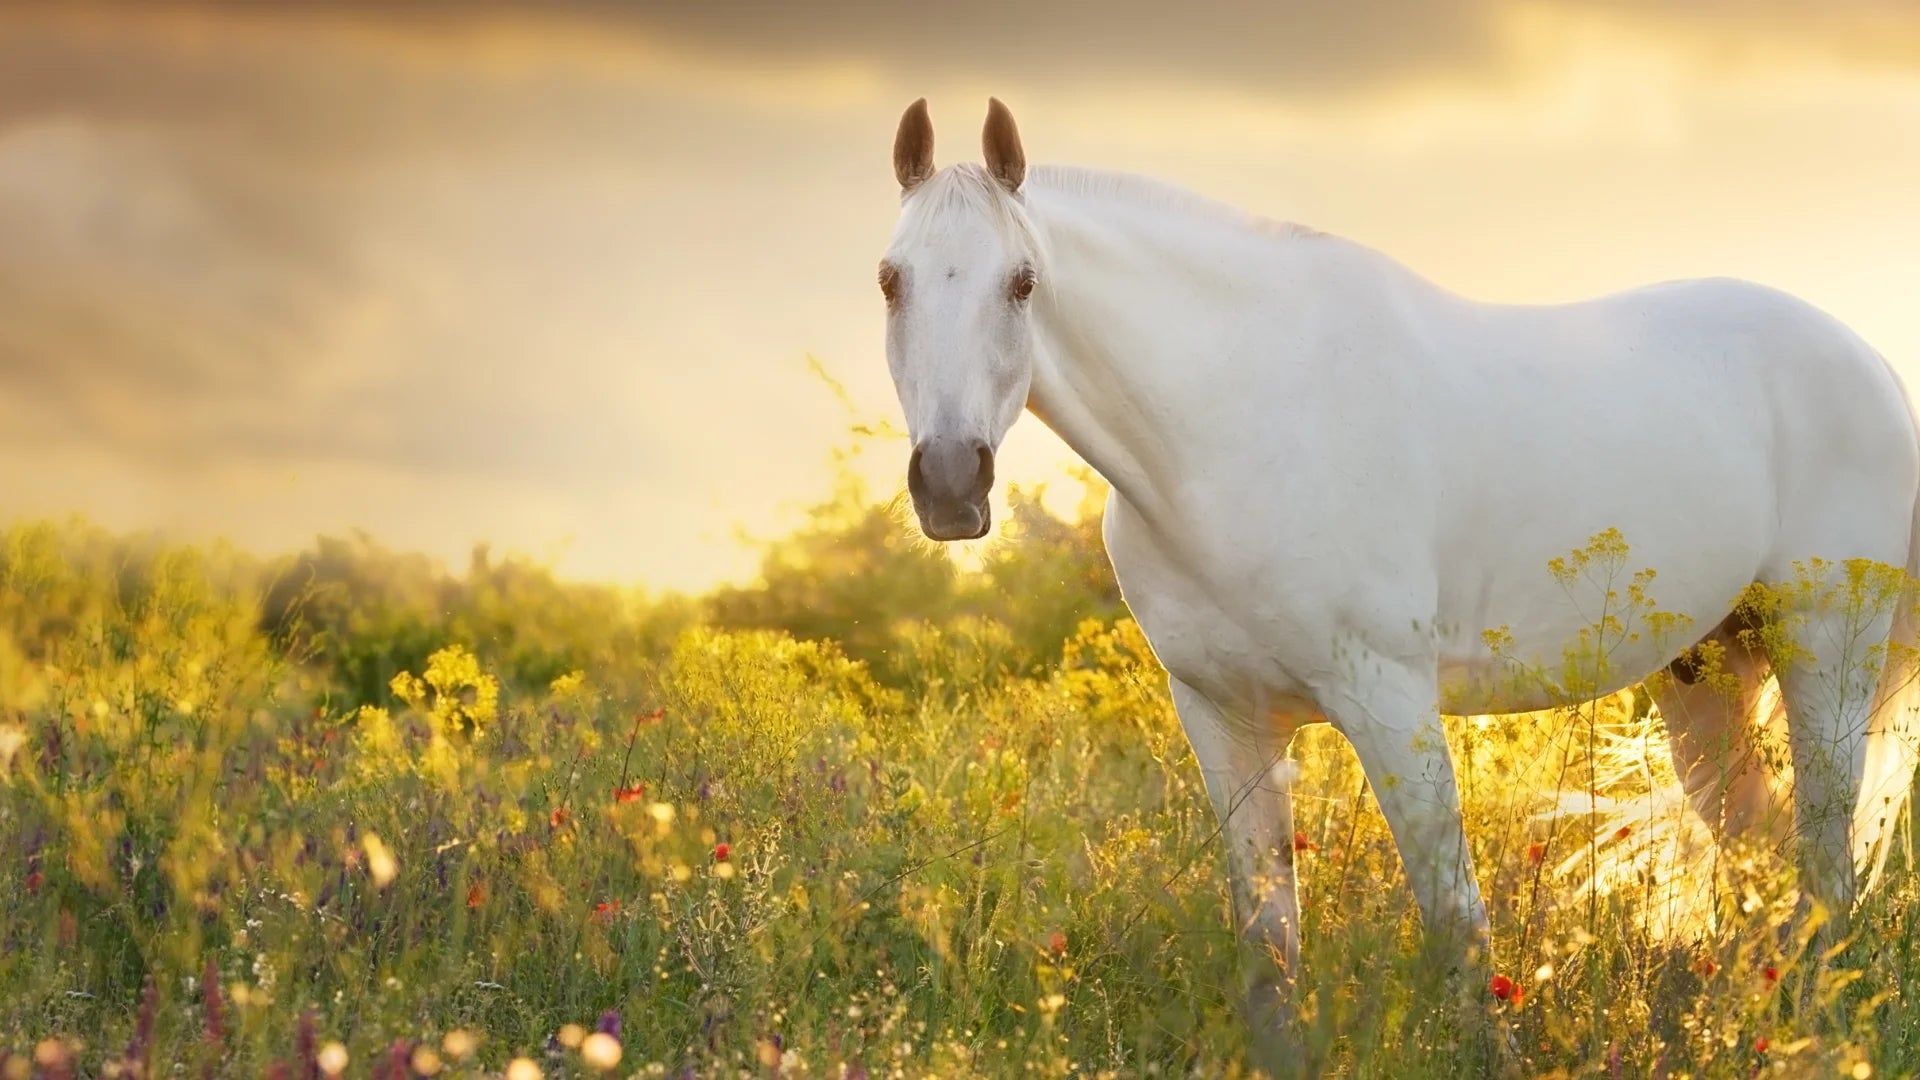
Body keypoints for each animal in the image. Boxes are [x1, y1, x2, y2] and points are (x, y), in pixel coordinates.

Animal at [874, 96, 1920, 1073]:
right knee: (1760, 856)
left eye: (1023, 282)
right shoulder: (1222, 717)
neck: (1237, 420)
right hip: (1708, 673)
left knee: (1825, 869)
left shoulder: (1389, 702)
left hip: (1828, 646)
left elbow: (1457, 918)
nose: (952, 485)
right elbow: (1269, 940)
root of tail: (1866, 360)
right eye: (891, 280)